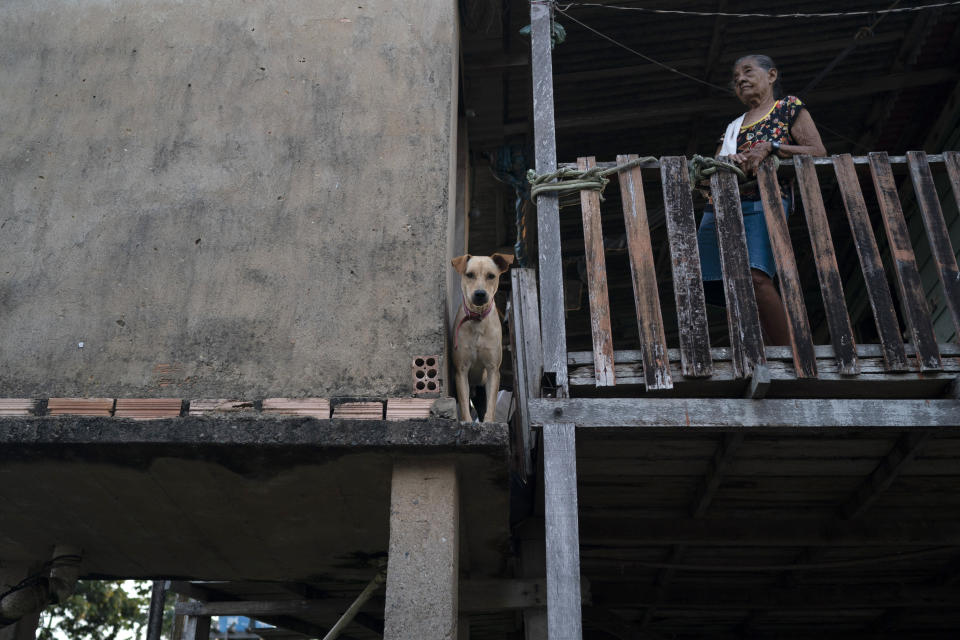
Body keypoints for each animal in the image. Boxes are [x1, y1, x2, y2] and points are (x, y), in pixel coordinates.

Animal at [452, 252, 512, 422]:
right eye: (469, 275)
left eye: (491, 275)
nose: (480, 293)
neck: (477, 319)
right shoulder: (461, 370)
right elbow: (464, 406)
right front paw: (467, 421)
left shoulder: (493, 369)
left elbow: (491, 404)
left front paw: (488, 422)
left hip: (480, 393)